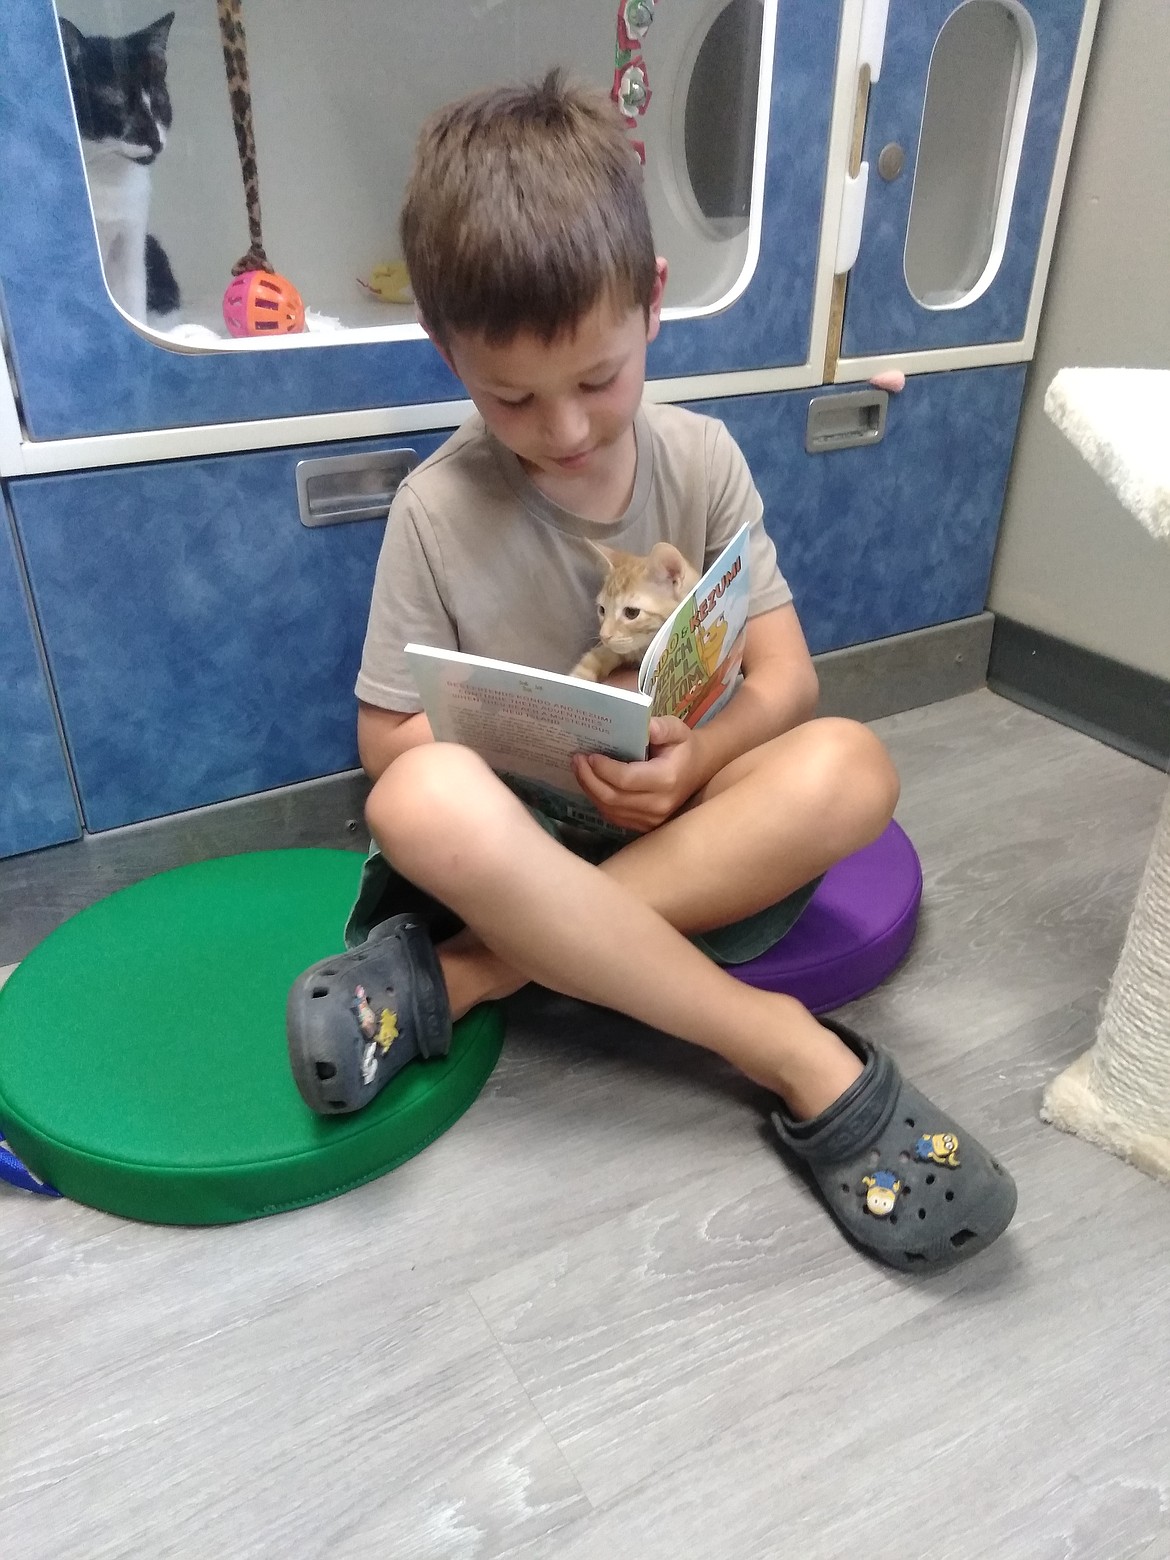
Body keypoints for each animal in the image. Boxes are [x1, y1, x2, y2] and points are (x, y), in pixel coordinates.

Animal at [59, 13, 180, 324]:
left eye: (159, 101)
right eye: (117, 104)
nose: (155, 141)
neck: (106, 175)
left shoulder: (132, 234)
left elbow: (132, 297)